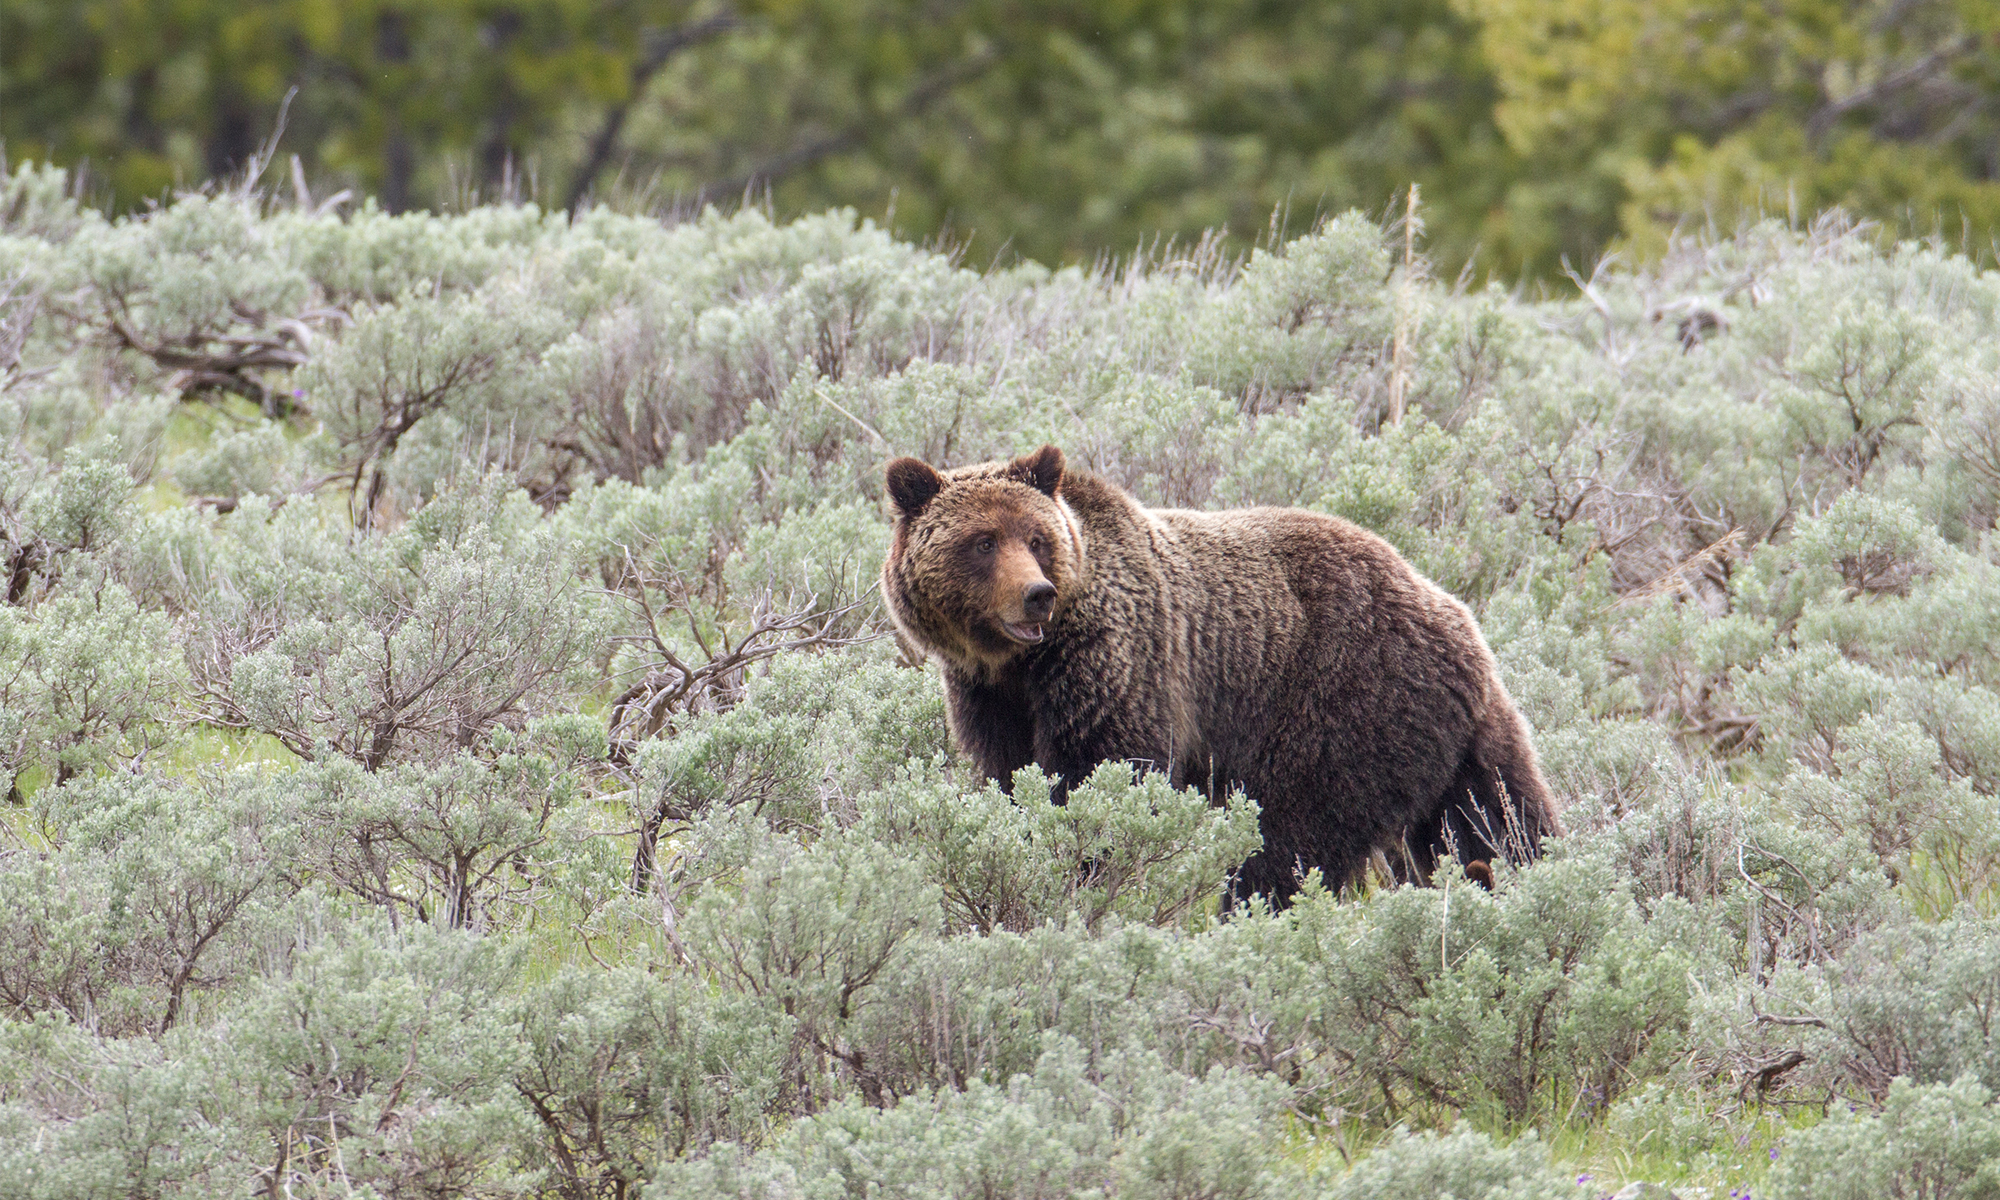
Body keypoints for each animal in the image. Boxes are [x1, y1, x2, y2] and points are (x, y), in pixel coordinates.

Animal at [880, 442, 1560, 900]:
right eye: (983, 541)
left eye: (1036, 538)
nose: (1036, 595)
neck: (1022, 663)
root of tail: (1455, 616)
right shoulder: (989, 698)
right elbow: (1010, 776)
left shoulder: (1118, 665)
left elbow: (1104, 773)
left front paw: (1091, 868)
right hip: (1454, 736)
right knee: (1497, 816)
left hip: (1341, 702)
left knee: (1290, 837)